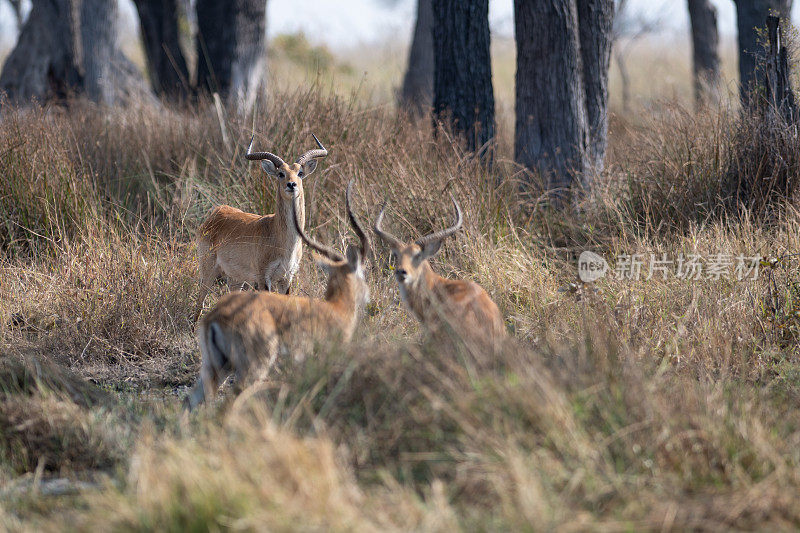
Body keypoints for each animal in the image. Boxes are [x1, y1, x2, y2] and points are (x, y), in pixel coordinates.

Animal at [193, 133, 328, 320]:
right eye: (280, 173)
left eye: (300, 173)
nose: (291, 184)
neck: (281, 239)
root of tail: (216, 212)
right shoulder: (264, 277)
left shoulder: (287, 277)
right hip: (208, 271)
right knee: (199, 301)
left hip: (236, 279)